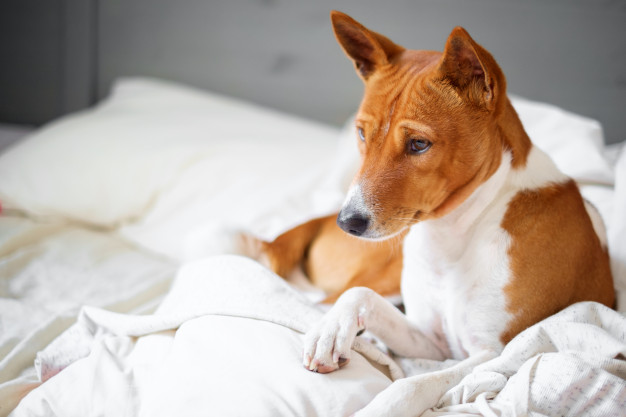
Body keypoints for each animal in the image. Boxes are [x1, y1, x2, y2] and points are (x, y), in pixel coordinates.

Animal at [260, 11, 612, 414]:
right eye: (362, 134)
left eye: (418, 144)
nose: (348, 222)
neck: (454, 235)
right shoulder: (432, 339)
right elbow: (360, 295)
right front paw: (330, 332)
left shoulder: (492, 354)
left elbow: (414, 383)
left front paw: (381, 405)